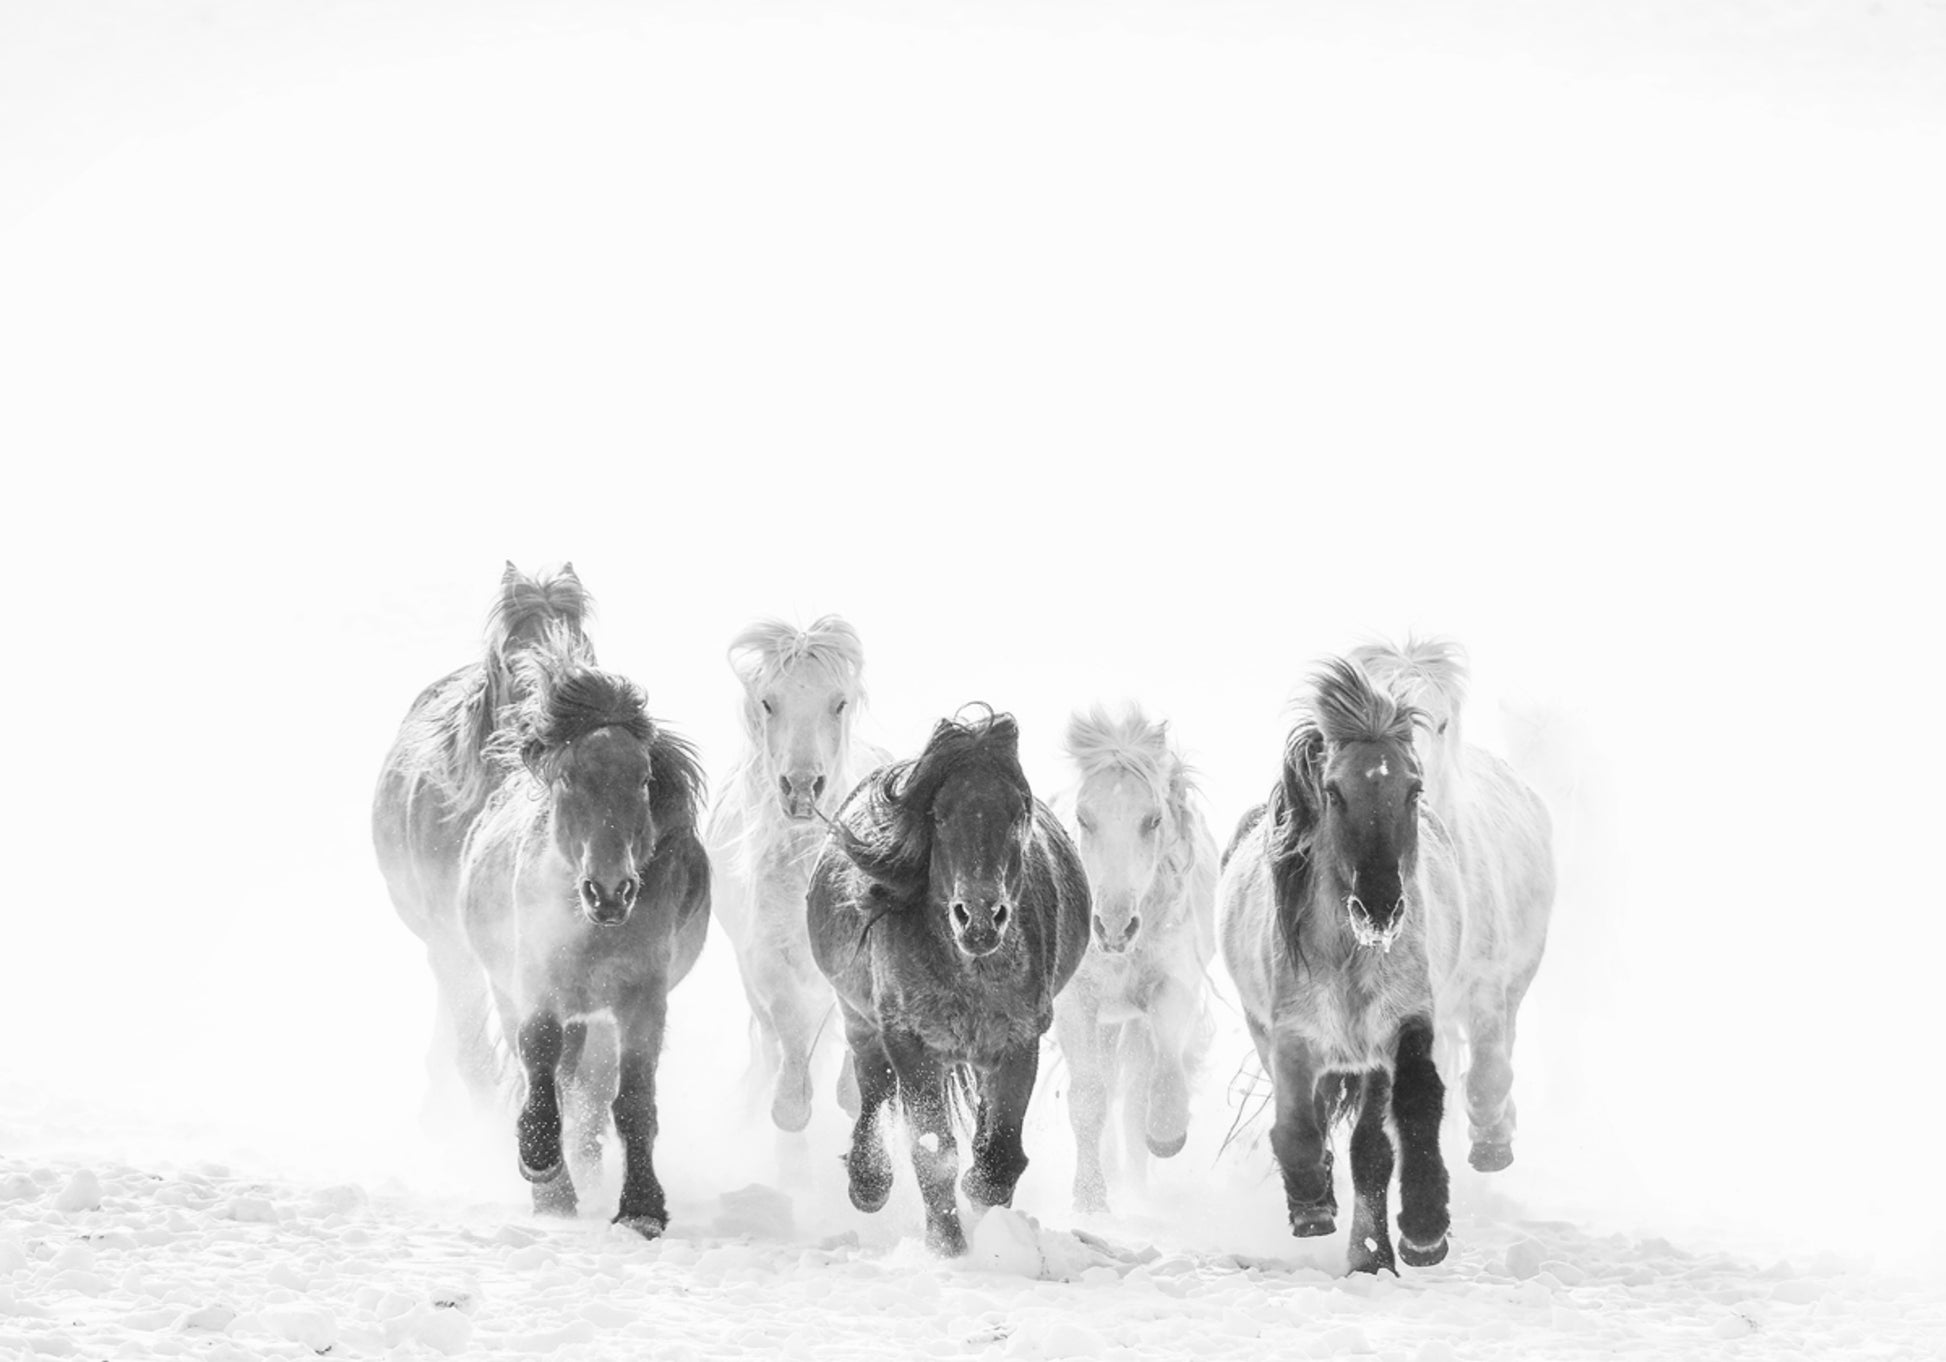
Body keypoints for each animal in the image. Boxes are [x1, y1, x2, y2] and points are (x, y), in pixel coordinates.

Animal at [457, 626, 710, 1237]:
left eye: (644, 780)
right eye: (569, 779)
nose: (610, 891)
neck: (594, 931)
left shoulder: (642, 1000)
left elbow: (633, 1100)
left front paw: (641, 1207)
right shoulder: (538, 983)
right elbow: (538, 1054)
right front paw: (542, 1165)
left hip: (596, 1018)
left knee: (587, 1091)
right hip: (512, 991)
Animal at [703, 617, 889, 1132]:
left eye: (838, 702)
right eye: (769, 702)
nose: (803, 787)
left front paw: (852, 1092)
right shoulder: (766, 956)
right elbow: (790, 1022)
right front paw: (791, 1104)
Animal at [807, 708, 1090, 1256]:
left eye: (1018, 813)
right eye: (938, 815)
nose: (979, 917)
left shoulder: (1018, 1040)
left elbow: (998, 1158)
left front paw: (982, 1218)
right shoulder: (910, 1040)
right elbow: (932, 1150)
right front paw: (949, 1248)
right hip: (861, 1021)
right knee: (874, 1087)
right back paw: (868, 1184)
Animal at [1049, 704, 1218, 1213]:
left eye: (1153, 820)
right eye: (1084, 818)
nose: (1113, 926)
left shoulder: (1171, 989)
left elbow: (1161, 1077)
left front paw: (1166, 1133)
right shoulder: (1074, 1002)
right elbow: (1089, 1098)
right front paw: (1090, 1200)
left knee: (1136, 1091)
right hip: (1107, 1020)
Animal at [1218, 658, 1458, 1274]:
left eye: (1413, 788)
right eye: (1333, 791)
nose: (1379, 907)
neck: (1351, 957)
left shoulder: (1402, 1025)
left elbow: (1415, 1106)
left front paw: (1423, 1231)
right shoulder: (1291, 1036)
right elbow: (1296, 1125)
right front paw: (1310, 1203)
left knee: (1370, 1146)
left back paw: (1371, 1253)